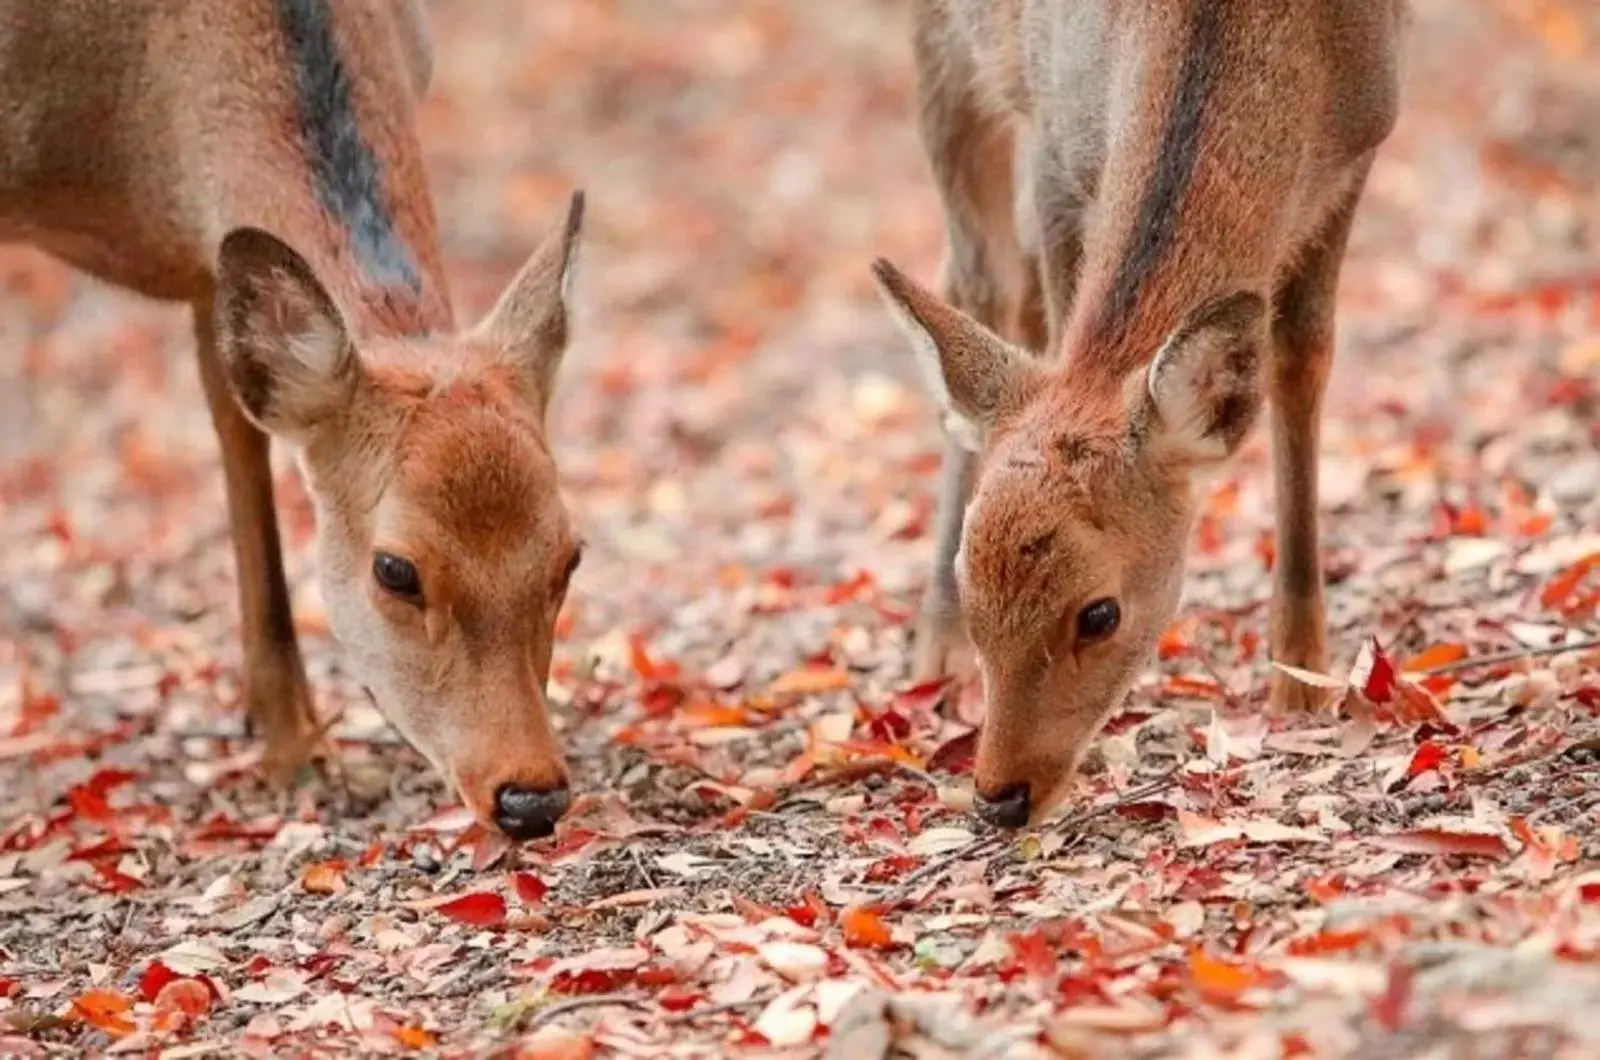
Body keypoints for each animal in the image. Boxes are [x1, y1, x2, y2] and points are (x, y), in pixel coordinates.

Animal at [0, 2, 588, 845]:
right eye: (395, 569)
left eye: (570, 556)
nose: (530, 799)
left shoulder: (210, 259)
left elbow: (240, 437)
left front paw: (296, 746)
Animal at [876, 0, 1401, 832]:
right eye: (971, 578)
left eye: (1100, 614)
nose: (998, 796)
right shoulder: (1055, 147)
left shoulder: (1365, 139)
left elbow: (1301, 357)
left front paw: (1300, 679)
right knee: (981, 281)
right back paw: (937, 654)